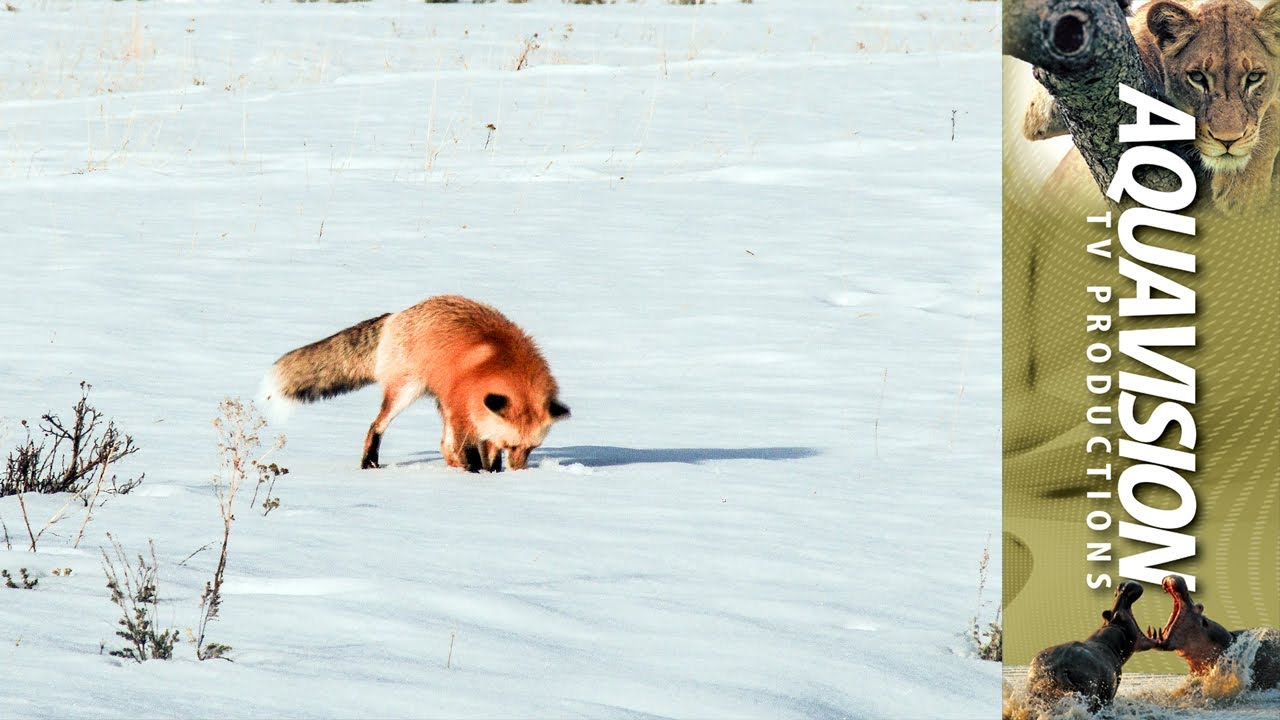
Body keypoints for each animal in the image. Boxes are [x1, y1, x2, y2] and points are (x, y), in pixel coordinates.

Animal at [262, 295, 569, 472]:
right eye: (512, 446)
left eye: (532, 449)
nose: (519, 473)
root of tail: (396, 314)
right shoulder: (464, 413)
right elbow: (471, 456)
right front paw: (473, 478)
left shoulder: (485, 423)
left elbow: (488, 459)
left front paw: (492, 475)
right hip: (406, 392)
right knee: (376, 426)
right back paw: (369, 463)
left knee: (442, 445)